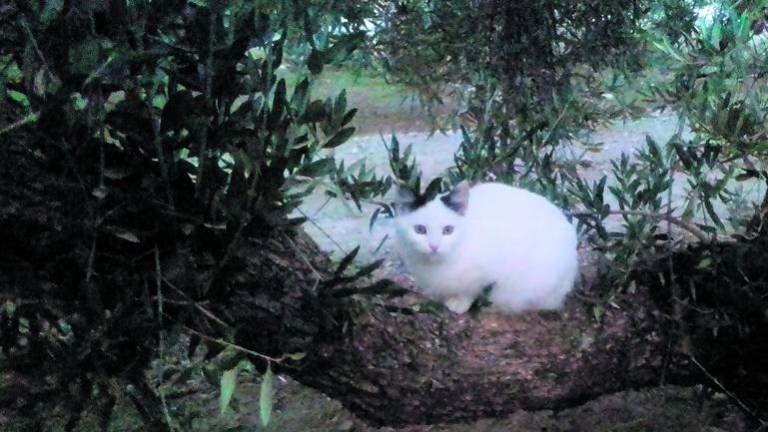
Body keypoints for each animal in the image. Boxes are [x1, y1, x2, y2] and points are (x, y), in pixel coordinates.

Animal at [392, 180, 580, 314]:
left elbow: (474, 290)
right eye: (420, 229)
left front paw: (459, 304)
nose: (434, 246)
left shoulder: (489, 273)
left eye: (448, 230)